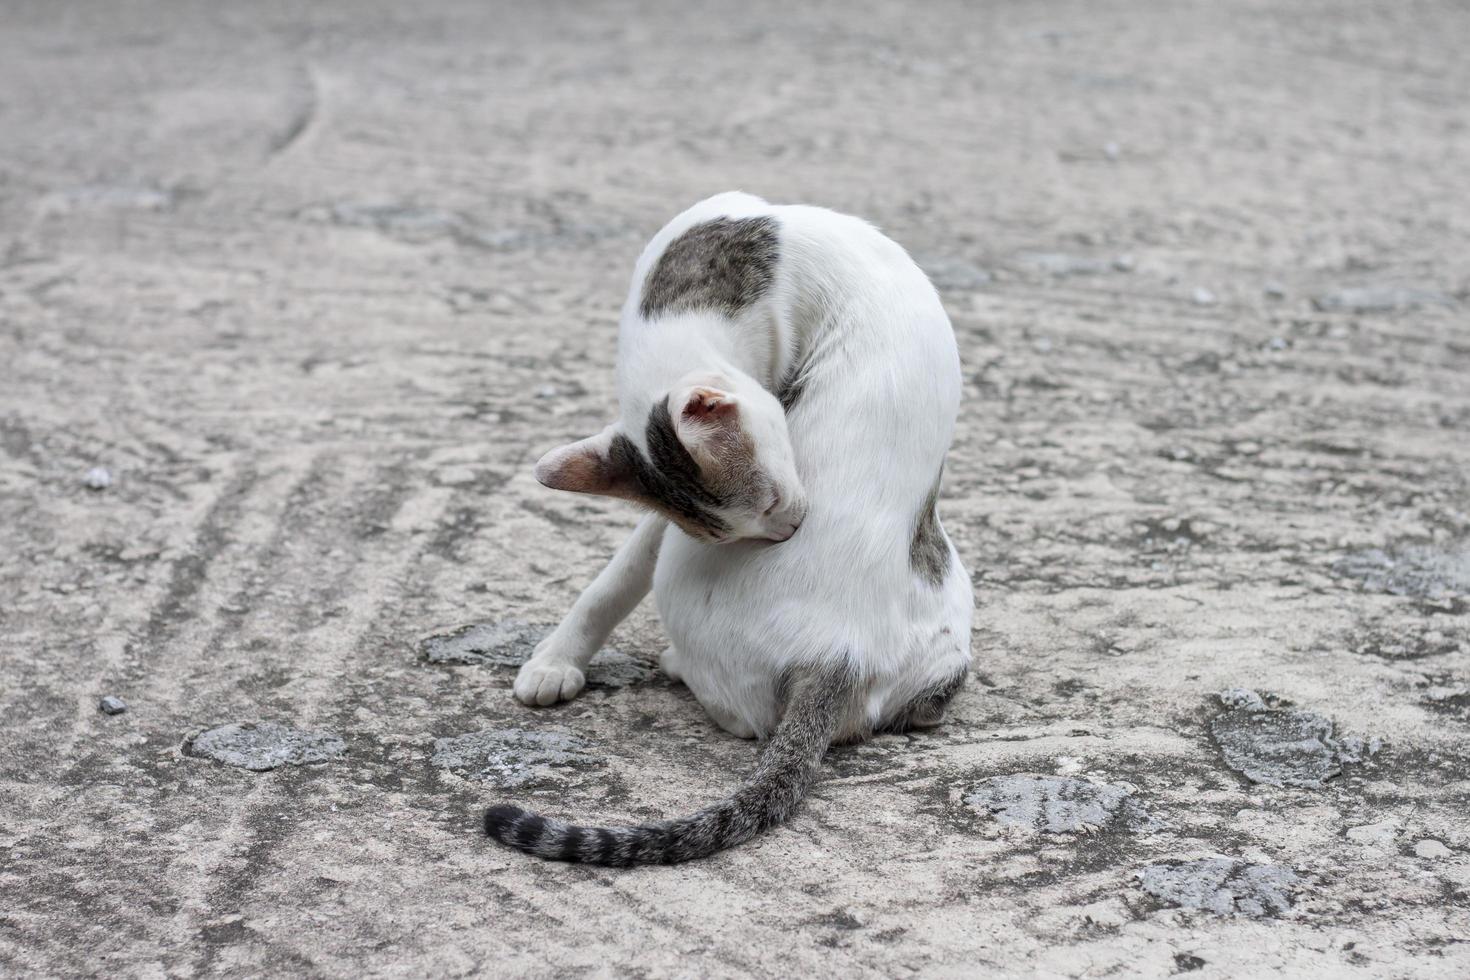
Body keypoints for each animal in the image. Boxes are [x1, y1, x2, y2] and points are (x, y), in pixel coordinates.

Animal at [485, 191, 976, 863]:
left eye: (772, 500)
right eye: (758, 514)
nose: (790, 530)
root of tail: (839, 652)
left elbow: (621, 571)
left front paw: (560, 655)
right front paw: (558, 657)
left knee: (742, 716)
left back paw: (676, 663)